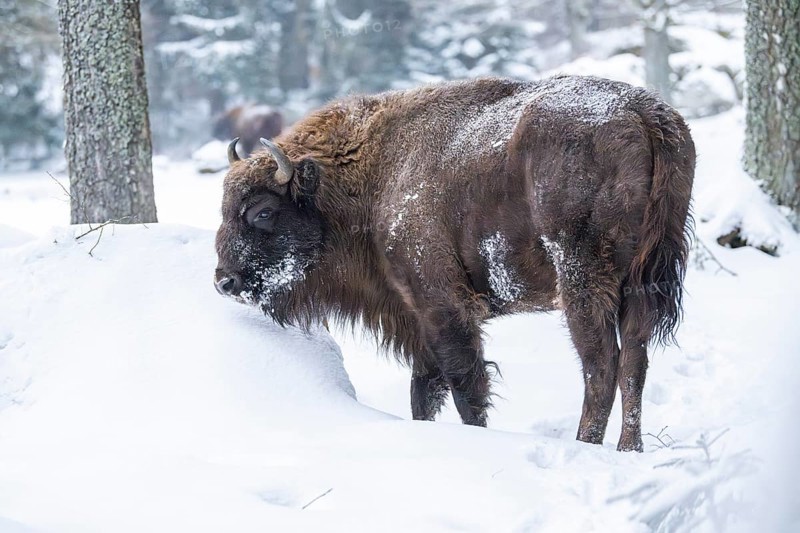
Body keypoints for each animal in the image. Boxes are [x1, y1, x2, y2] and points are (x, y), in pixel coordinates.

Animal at [214, 76, 695, 452]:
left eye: (262, 212)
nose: (224, 281)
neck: (375, 171)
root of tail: (645, 112)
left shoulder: (442, 306)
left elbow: (466, 388)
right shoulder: (416, 317)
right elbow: (423, 391)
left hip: (582, 278)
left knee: (601, 365)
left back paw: (586, 446)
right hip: (641, 281)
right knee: (634, 361)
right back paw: (630, 449)